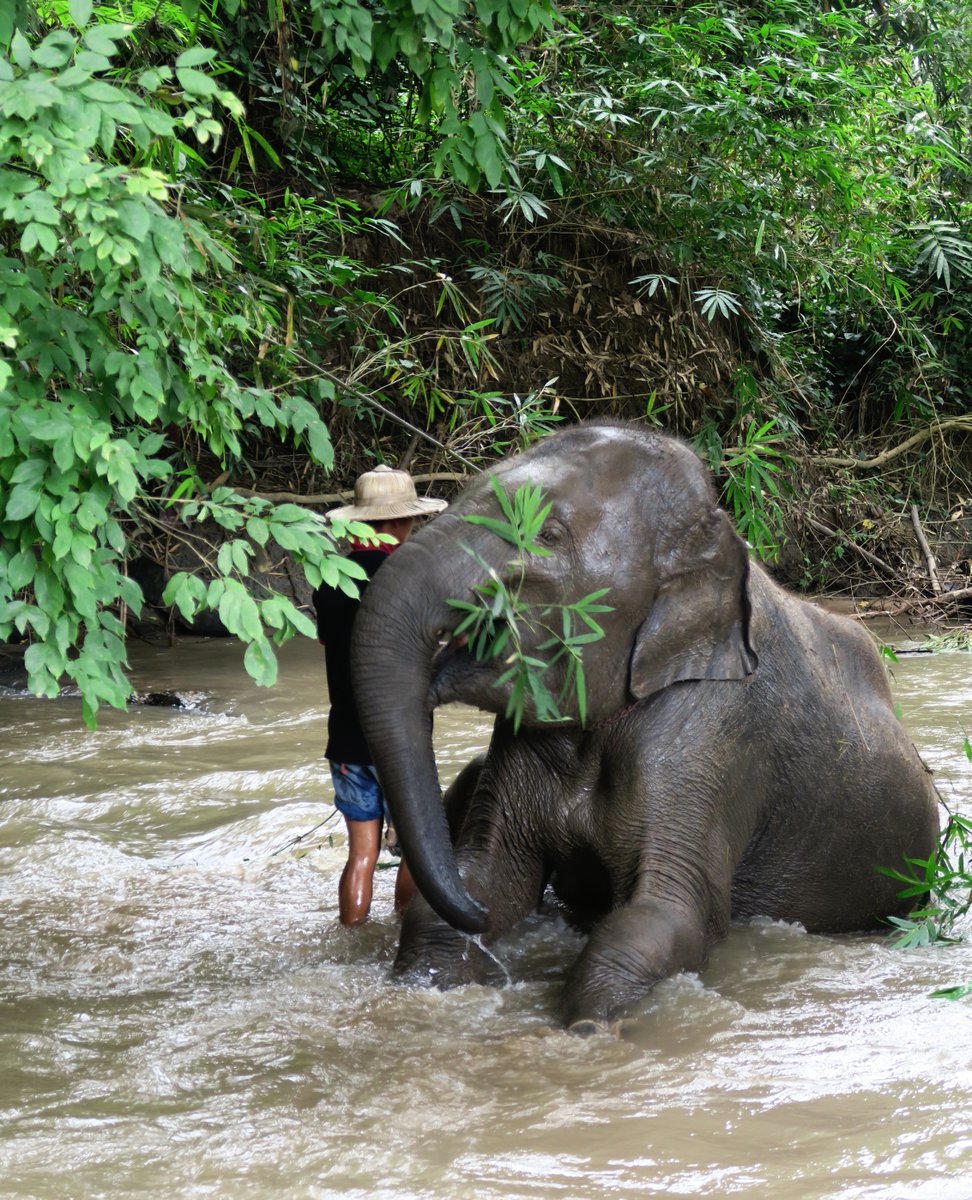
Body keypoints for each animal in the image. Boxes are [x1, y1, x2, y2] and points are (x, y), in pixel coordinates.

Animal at [350, 421, 940, 1032]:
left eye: (548, 533)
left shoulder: (712, 739)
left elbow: (669, 915)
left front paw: (589, 1030)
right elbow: (489, 878)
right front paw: (421, 988)